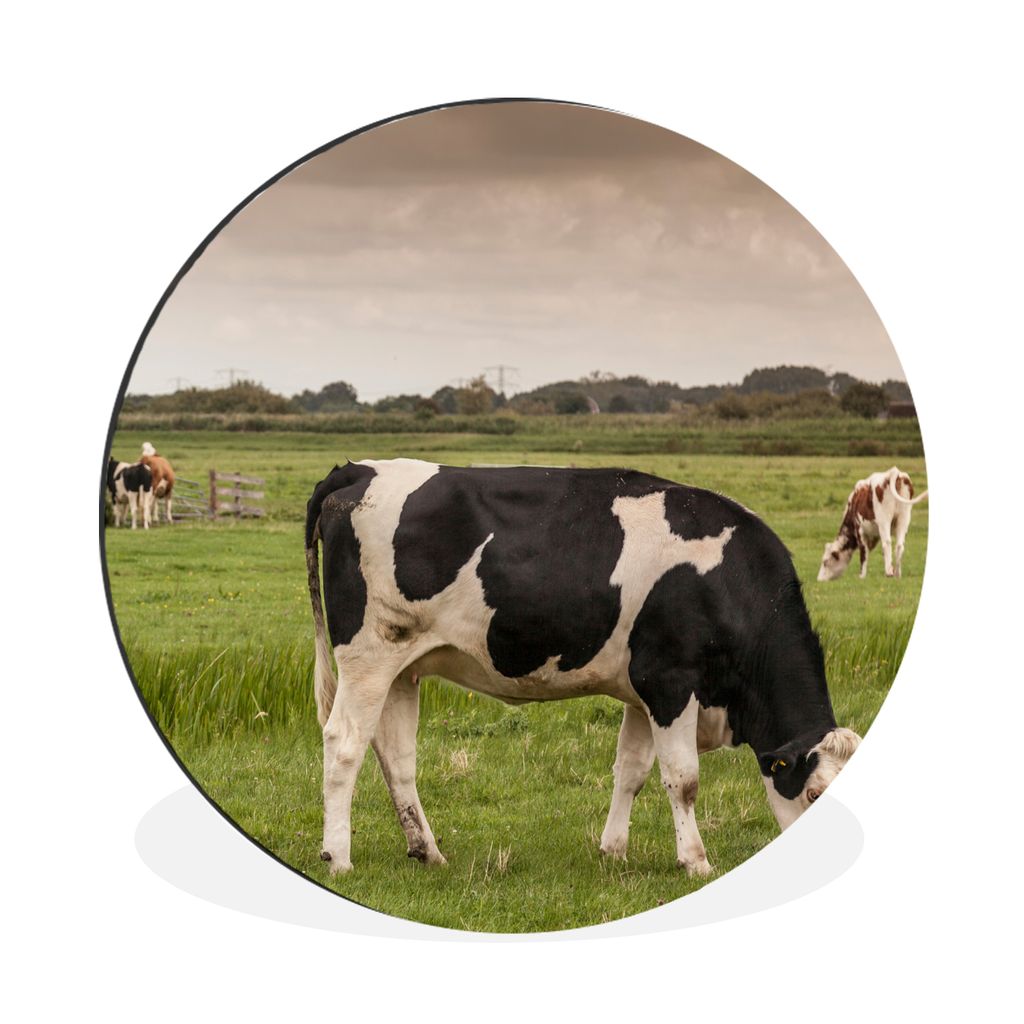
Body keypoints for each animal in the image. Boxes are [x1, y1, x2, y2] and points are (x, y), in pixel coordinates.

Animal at [306, 459, 862, 876]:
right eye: (814, 793)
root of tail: (358, 470)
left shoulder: (642, 691)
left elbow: (631, 771)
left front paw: (613, 850)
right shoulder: (670, 682)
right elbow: (682, 778)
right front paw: (696, 861)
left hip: (403, 666)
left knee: (397, 756)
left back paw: (429, 852)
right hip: (368, 654)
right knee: (344, 743)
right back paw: (339, 858)